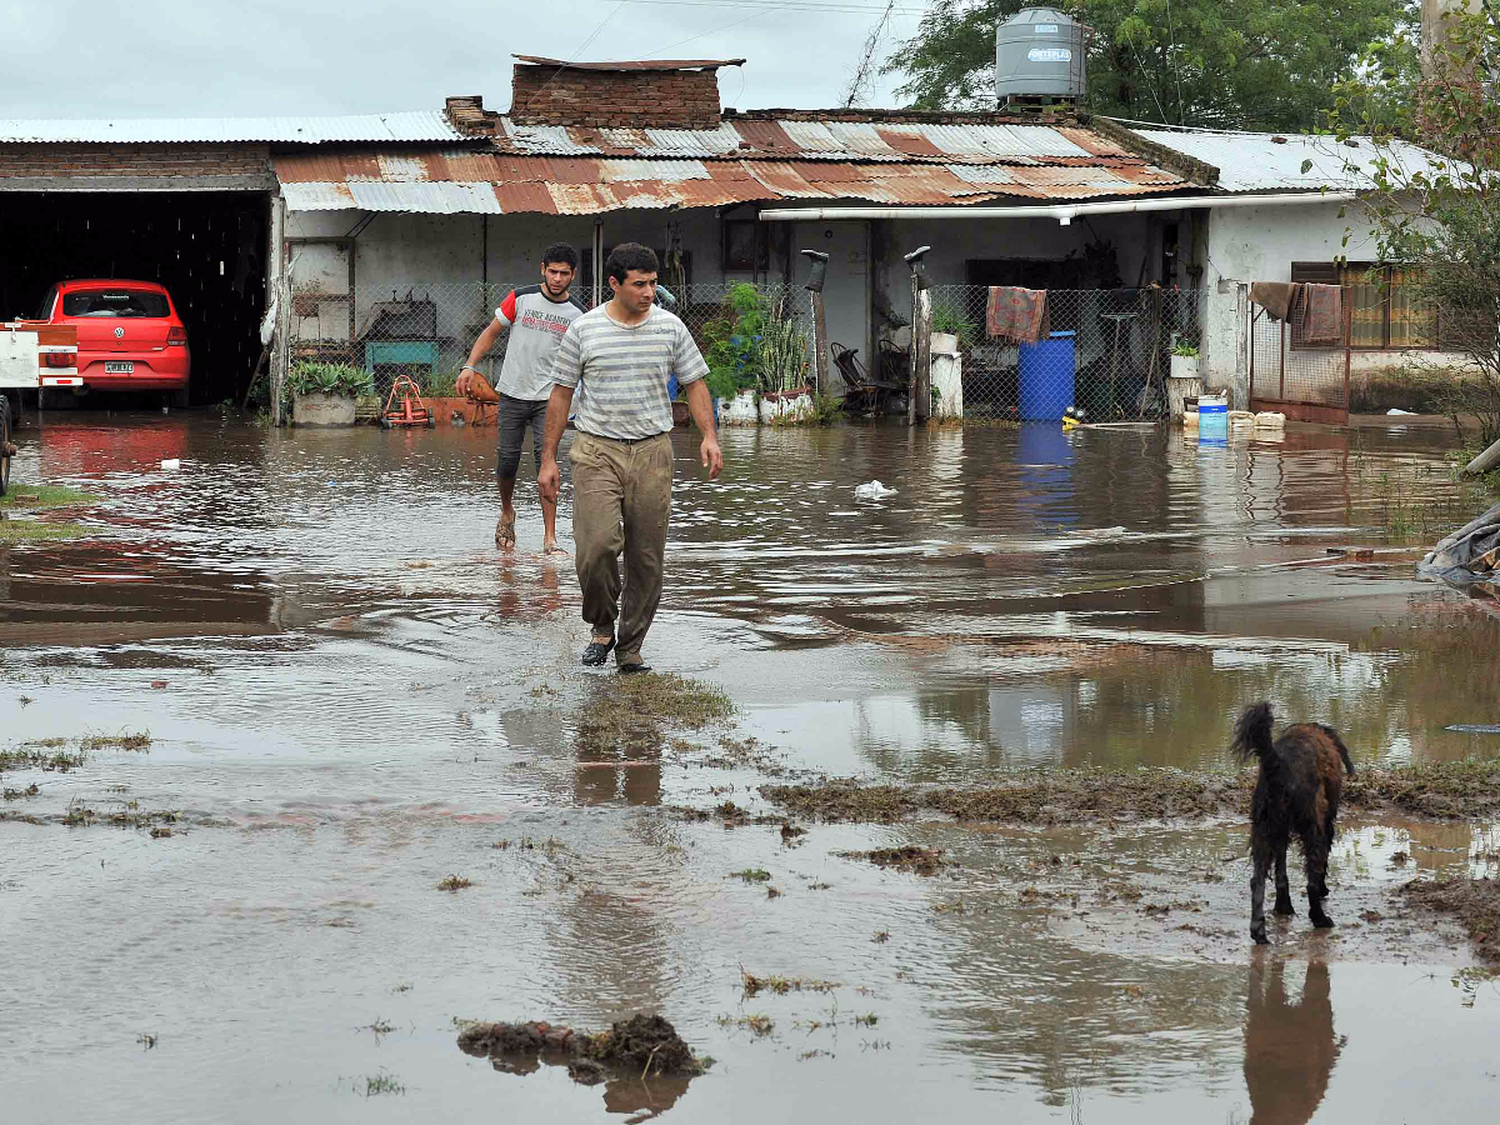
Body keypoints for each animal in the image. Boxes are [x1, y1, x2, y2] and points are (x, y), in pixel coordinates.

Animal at [1230, 708, 1362, 948]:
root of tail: (1279, 764)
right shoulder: (1326, 824)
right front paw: (1322, 890)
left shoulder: (1280, 834)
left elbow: (1281, 872)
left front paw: (1282, 906)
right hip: (1312, 828)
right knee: (1311, 881)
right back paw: (1320, 918)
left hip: (1263, 830)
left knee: (1257, 882)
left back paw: (1259, 930)